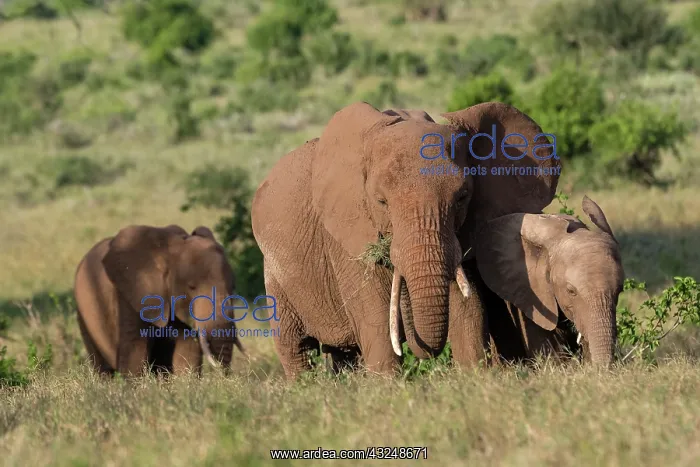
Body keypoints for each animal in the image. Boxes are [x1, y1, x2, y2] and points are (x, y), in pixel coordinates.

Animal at [74, 224, 245, 377]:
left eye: (234, 287)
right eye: (191, 287)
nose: (225, 375)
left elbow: (187, 352)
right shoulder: (132, 292)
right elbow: (135, 350)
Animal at [251, 101, 560, 379]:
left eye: (462, 197)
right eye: (381, 201)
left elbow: (468, 309)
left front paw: (475, 381)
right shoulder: (345, 235)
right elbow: (375, 317)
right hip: (275, 276)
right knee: (295, 347)